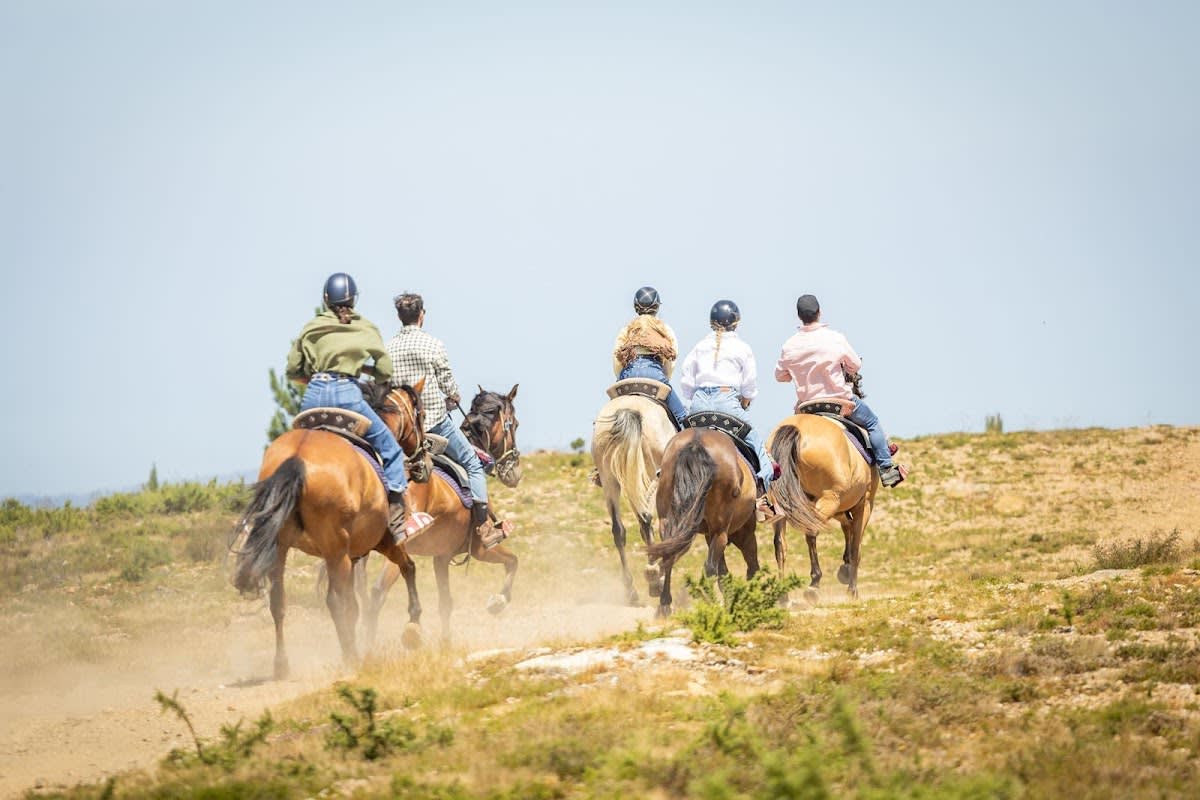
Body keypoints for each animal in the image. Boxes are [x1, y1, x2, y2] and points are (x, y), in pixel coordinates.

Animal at [231, 380, 428, 680]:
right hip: (337, 552)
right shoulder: (383, 541)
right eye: (422, 415)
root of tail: (298, 457)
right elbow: (408, 567)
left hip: (284, 549)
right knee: (336, 602)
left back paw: (282, 664)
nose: (424, 461)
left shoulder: (352, 555)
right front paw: (414, 624)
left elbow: (355, 606)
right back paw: (351, 657)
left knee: (279, 602)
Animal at [359, 385, 523, 643]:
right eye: (514, 424)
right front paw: (498, 601)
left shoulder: (441, 556)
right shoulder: (479, 548)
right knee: (377, 593)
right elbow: (513, 562)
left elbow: (445, 602)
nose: (515, 472)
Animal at [591, 393, 678, 604]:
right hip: (653, 476)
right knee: (648, 519)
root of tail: (629, 409)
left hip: (611, 479)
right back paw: (654, 578)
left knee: (619, 530)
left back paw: (631, 590)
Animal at [645, 428, 761, 617]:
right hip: (721, 531)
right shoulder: (744, 533)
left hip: (668, 523)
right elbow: (748, 566)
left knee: (669, 556)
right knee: (710, 568)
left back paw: (664, 604)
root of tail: (696, 442)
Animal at [766, 414, 878, 601]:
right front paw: (852, 589)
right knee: (812, 532)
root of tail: (796, 427)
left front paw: (845, 568)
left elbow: (847, 529)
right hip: (829, 500)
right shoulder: (864, 504)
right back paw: (814, 584)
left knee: (780, 544)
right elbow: (856, 546)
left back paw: (783, 595)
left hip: (781, 505)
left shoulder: (841, 509)